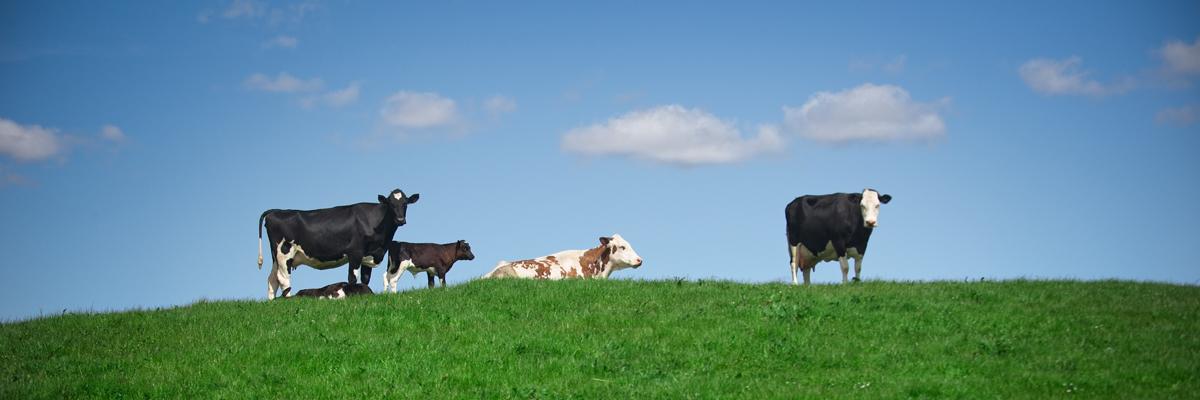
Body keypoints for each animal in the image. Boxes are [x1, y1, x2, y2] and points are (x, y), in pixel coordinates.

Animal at [256, 189, 419, 299]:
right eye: (391, 204)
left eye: (405, 203)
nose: (400, 219)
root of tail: (275, 211)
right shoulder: (355, 253)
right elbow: (352, 278)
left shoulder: (368, 255)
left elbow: (365, 280)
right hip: (284, 253)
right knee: (283, 279)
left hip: (276, 257)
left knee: (272, 279)